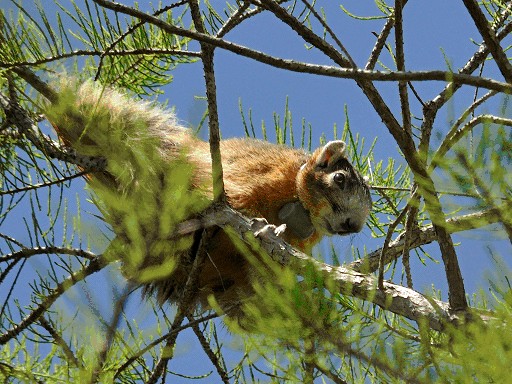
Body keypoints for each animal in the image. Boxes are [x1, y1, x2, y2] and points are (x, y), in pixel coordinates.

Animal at [43, 79, 372, 318]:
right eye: (340, 179)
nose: (351, 225)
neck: (300, 207)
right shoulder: (263, 173)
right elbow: (236, 202)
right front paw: (266, 227)